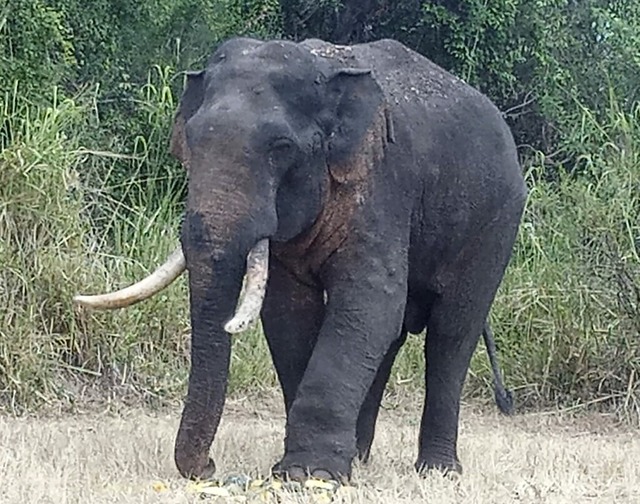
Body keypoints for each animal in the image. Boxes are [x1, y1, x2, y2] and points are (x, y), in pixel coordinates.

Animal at [74, 37, 524, 482]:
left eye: (282, 148)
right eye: (192, 142)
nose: (210, 469)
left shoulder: (382, 185)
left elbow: (370, 300)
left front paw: (311, 475)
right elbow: (290, 312)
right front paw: (302, 470)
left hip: (495, 225)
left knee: (451, 333)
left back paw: (437, 472)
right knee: (394, 338)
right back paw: (360, 457)